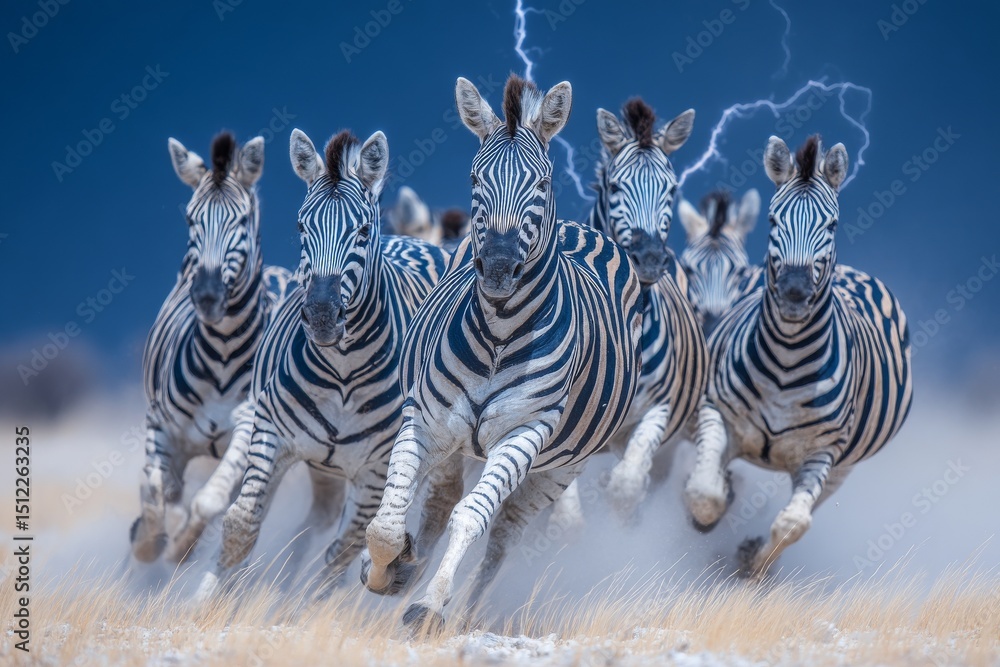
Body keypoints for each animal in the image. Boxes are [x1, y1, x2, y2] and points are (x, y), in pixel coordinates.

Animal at [132, 132, 290, 564]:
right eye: (190, 219)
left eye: (242, 220)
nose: (206, 296)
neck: (221, 354)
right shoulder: (160, 425)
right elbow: (156, 496)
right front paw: (147, 544)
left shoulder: (250, 425)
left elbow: (209, 501)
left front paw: (180, 548)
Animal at [193, 127, 447, 601]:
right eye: (300, 226)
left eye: (362, 230)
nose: (323, 315)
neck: (343, 372)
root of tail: (417, 240)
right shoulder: (270, 433)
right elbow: (241, 524)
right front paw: (203, 604)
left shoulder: (375, 471)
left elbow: (341, 555)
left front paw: (306, 609)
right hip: (316, 463)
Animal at [361, 74, 643, 630]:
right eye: (475, 179)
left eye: (542, 183)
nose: (496, 268)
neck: (498, 332)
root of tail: (586, 230)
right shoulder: (425, 418)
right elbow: (386, 521)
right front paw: (388, 568)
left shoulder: (525, 433)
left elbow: (472, 516)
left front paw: (430, 605)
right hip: (454, 443)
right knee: (436, 500)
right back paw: (407, 567)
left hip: (563, 467)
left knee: (502, 535)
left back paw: (463, 612)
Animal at [550, 98, 708, 528]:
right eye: (616, 186)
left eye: (672, 189)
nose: (650, 259)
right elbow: (568, 517)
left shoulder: (658, 409)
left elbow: (626, 489)